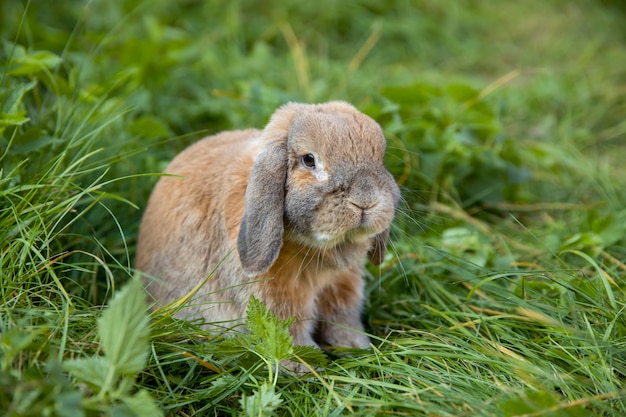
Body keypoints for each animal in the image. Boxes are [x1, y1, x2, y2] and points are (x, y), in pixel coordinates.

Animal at [136, 100, 400, 370]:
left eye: (380, 157)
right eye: (309, 160)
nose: (365, 200)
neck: (316, 250)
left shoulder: (343, 288)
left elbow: (342, 322)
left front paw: (356, 348)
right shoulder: (277, 298)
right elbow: (288, 331)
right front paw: (301, 366)